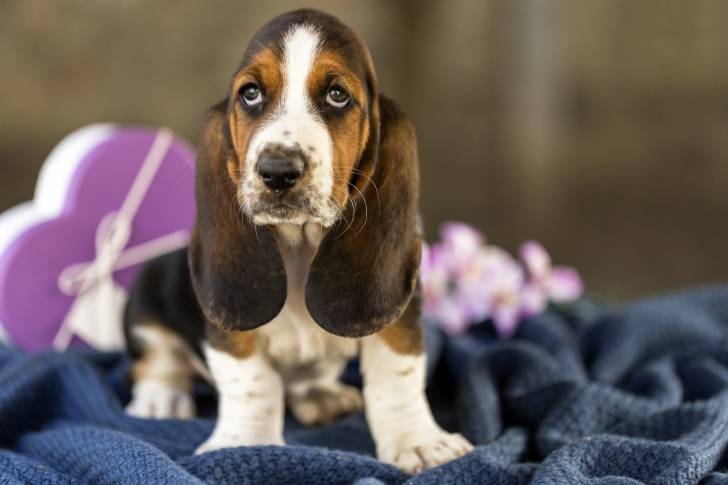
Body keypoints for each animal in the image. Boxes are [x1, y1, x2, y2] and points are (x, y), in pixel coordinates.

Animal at [123, 9, 472, 473]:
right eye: (251, 93)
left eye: (337, 95)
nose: (278, 171)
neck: (302, 244)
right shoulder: (230, 331)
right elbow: (252, 381)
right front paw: (247, 443)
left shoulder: (399, 314)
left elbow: (397, 373)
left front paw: (419, 442)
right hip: (147, 297)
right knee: (157, 359)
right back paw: (161, 397)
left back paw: (321, 396)